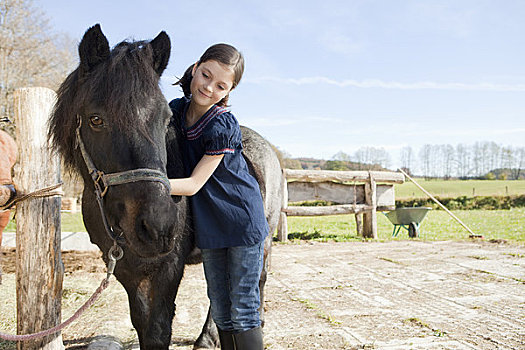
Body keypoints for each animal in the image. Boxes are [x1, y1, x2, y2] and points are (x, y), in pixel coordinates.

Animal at [47, 23, 282, 348]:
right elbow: (142, 325)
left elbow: (159, 331)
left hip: (263, 240)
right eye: (95, 119)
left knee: (255, 283)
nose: (158, 227)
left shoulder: (168, 269)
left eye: (166, 118)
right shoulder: (126, 269)